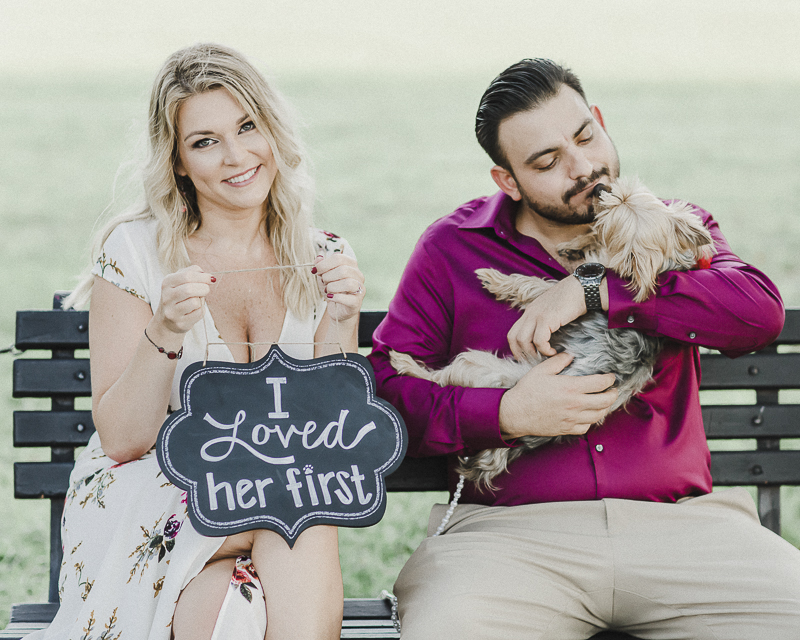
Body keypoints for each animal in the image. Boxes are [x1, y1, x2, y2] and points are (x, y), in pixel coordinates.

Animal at [390, 178, 716, 492]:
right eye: (618, 191)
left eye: (611, 211)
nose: (600, 187)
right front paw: (574, 245)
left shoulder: (565, 293)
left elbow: (541, 286)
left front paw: (497, 279)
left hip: (477, 365)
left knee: (441, 378)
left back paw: (405, 363)